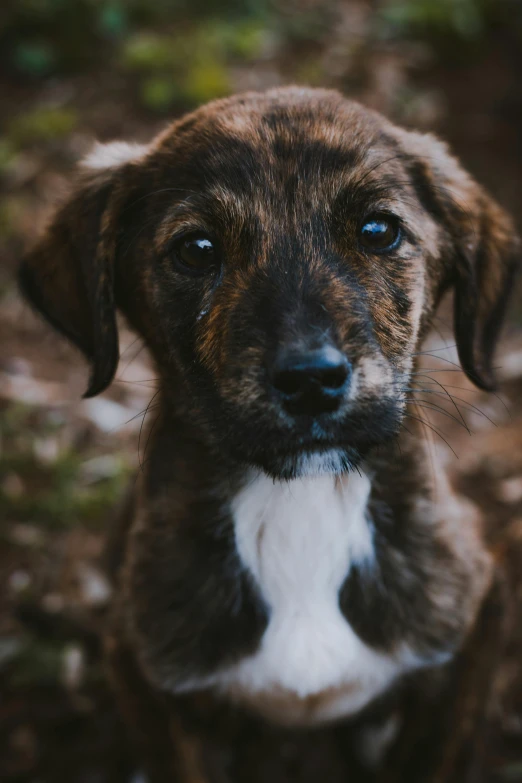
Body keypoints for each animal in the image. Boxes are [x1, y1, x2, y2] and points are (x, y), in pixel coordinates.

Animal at [18, 89, 516, 780]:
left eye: (378, 230)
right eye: (197, 248)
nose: (311, 381)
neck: (300, 501)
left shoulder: (472, 628)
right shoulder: (147, 674)